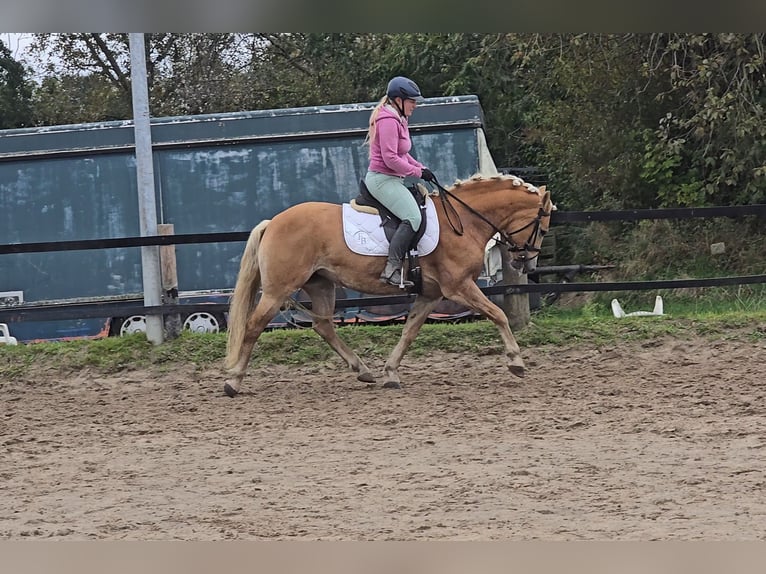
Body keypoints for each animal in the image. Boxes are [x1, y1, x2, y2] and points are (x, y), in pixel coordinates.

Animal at [225, 172, 556, 396]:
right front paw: (516, 362)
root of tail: (273, 222)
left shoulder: (432, 295)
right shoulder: (459, 287)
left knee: (324, 326)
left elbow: (409, 332)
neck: (463, 221)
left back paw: (363, 371)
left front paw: (391, 372)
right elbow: (498, 314)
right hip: (278, 290)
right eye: (542, 227)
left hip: (321, 285)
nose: (527, 264)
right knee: (254, 326)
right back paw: (233, 381)